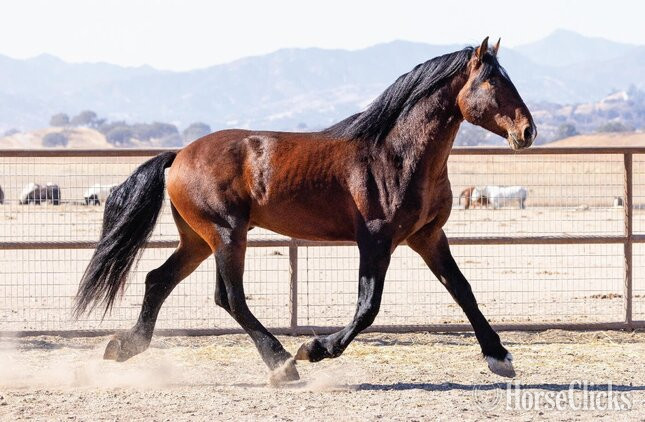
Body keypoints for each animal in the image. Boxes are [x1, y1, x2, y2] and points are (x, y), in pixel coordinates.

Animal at [75, 37, 536, 382]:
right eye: (491, 83)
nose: (527, 131)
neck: (396, 155)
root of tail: (179, 156)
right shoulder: (376, 239)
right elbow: (368, 307)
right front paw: (315, 348)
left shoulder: (428, 236)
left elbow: (462, 289)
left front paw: (499, 357)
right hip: (225, 234)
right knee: (229, 297)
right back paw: (282, 363)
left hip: (198, 239)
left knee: (158, 280)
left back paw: (122, 346)